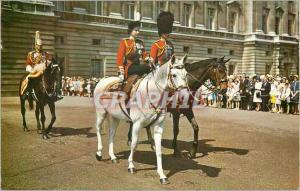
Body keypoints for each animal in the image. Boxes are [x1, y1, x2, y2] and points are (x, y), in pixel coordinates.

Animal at [94, 55, 188, 184]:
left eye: (186, 74)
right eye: (174, 75)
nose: (184, 96)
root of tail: (103, 80)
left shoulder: (158, 126)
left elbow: (158, 150)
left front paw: (162, 175)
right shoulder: (137, 124)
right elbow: (134, 144)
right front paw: (131, 166)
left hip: (115, 117)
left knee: (111, 133)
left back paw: (113, 156)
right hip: (101, 113)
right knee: (98, 129)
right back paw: (99, 153)